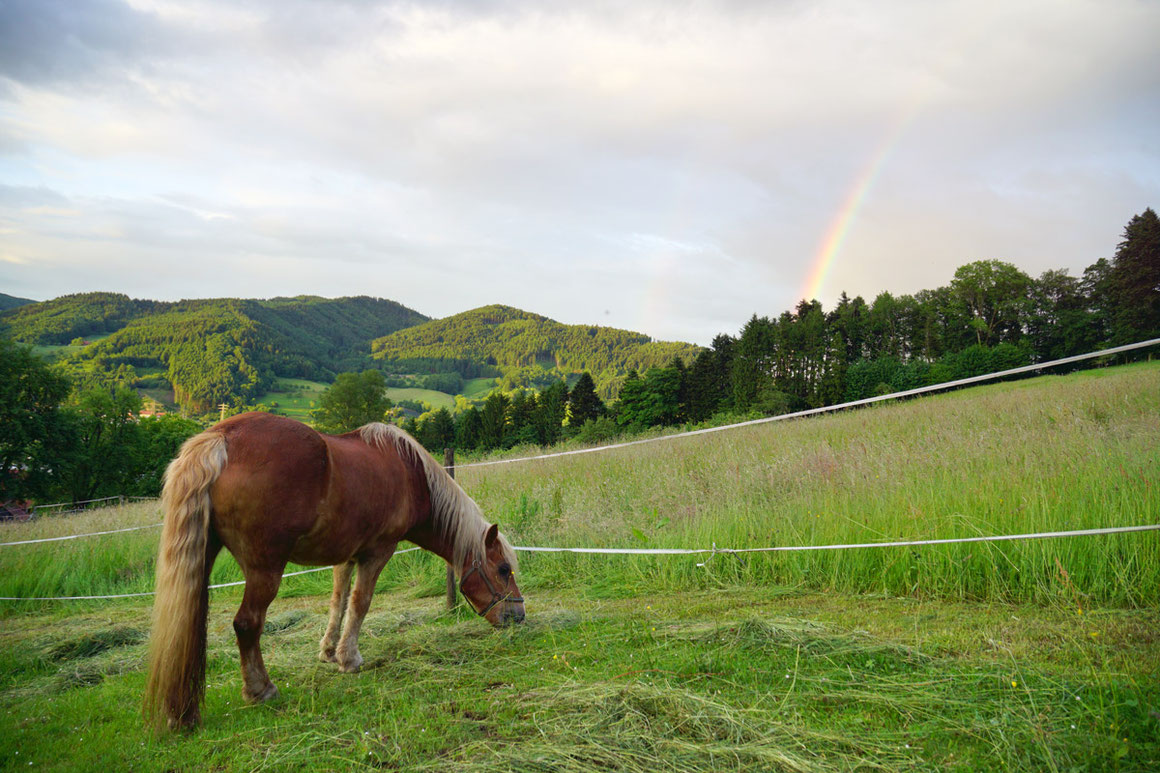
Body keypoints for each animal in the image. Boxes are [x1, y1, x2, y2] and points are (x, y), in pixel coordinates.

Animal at [142, 408, 524, 728]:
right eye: (504, 569)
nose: (518, 616)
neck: (411, 474)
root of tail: (221, 437)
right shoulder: (376, 553)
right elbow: (360, 603)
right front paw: (349, 658)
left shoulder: (346, 556)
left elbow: (338, 602)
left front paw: (328, 651)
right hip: (265, 569)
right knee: (247, 624)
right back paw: (260, 689)